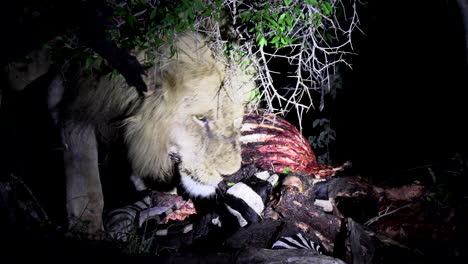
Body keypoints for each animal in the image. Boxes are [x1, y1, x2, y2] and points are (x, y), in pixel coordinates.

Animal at [56, 32, 256, 233]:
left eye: (236, 119)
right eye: (200, 118)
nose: (230, 175)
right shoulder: (73, 106)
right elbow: (86, 184)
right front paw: (87, 229)